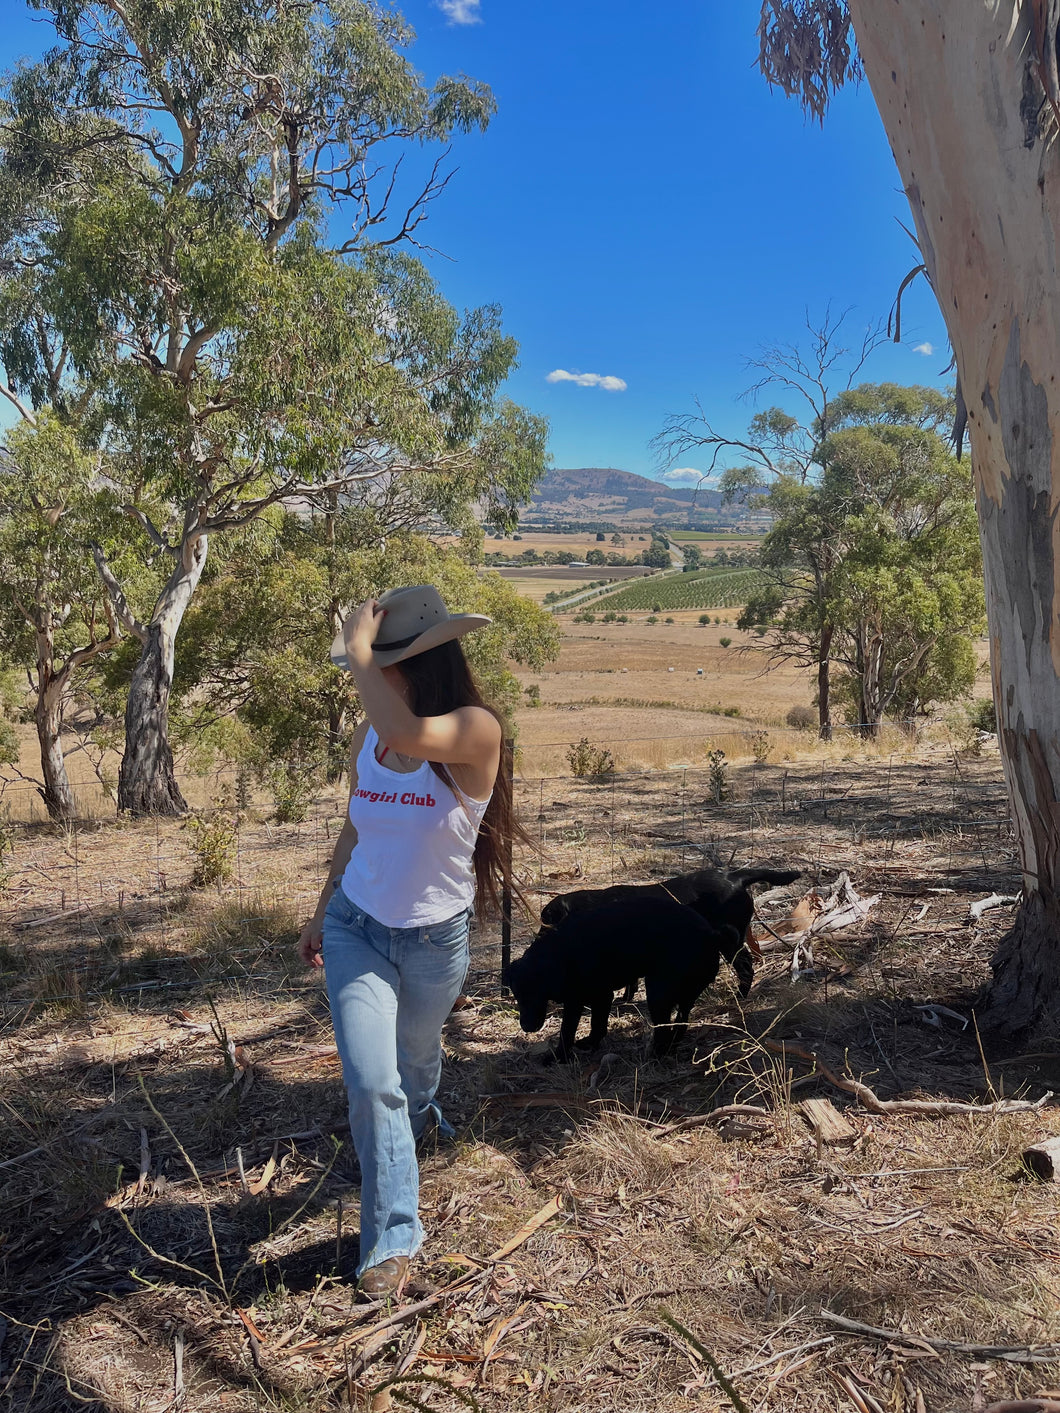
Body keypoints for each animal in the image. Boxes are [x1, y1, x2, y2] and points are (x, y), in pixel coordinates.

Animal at [511, 893, 740, 1062]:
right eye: (518, 997)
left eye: (536, 995)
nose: (527, 1027)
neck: (560, 952)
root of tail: (711, 935)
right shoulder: (601, 997)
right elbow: (597, 1024)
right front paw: (591, 1043)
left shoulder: (580, 1000)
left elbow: (567, 1031)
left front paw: (558, 1057)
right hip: (685, 996)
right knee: (680, 1024)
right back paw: (669, 1048)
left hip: (658, 993)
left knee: (664, 1028)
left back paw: (656, 1054)